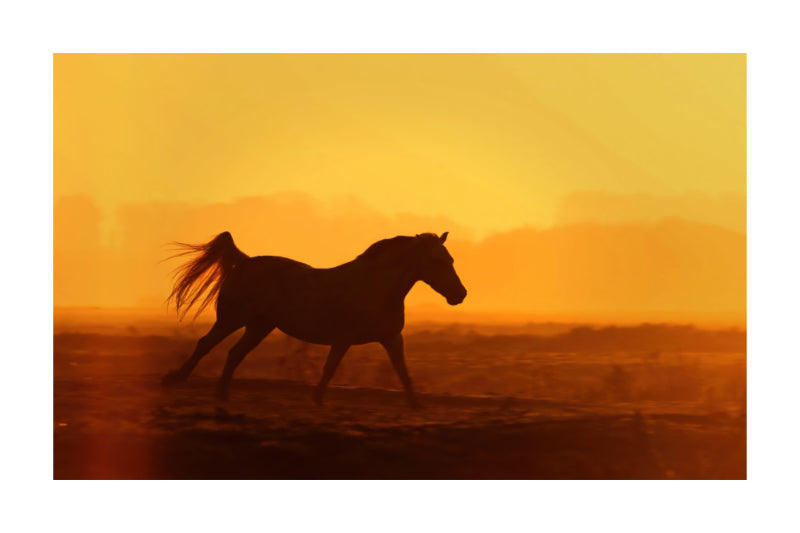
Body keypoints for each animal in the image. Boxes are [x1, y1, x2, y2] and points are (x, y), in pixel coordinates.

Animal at [161, 231, 467, 408]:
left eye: (451, 259)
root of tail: (245, 262)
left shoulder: (391, 338)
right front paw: (317, 399)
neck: (374, 286)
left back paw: (222, 394)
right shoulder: (343, 339)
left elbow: (403, 371)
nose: (460, 294)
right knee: (205, 344)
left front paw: (416, 404)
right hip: (232, 319)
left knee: (234, 353)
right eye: (437, 261)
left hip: (259, 326)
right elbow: (329, 369)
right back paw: (177, 379)